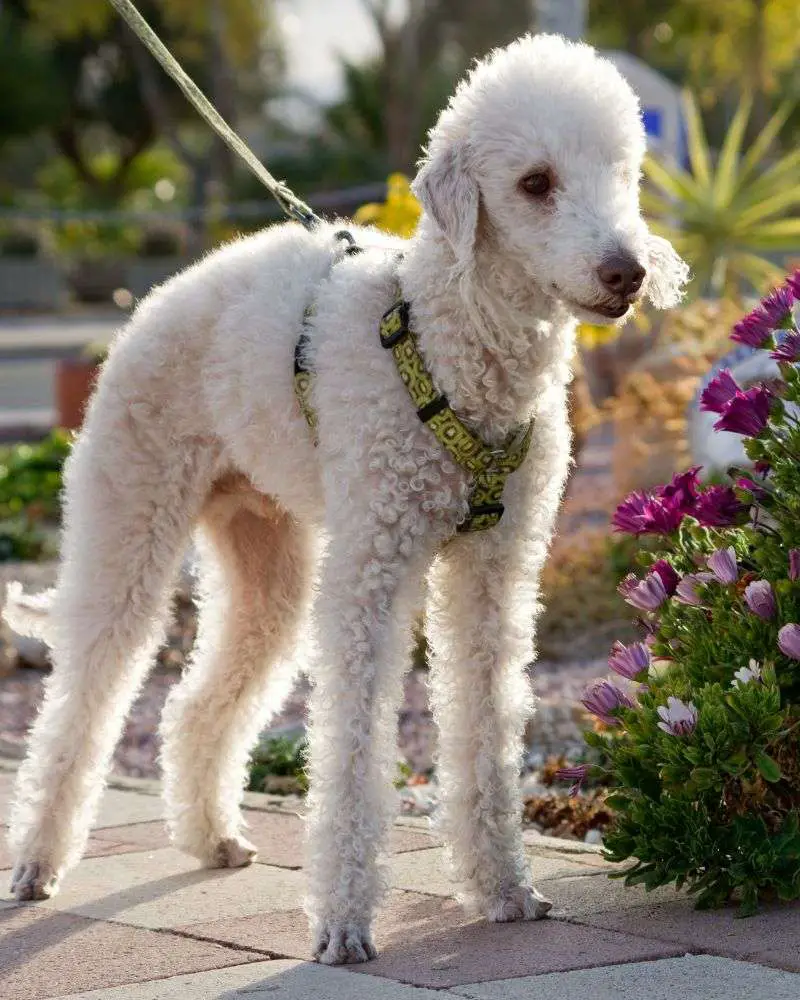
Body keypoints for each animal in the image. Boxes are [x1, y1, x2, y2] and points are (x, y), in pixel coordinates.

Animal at [3, 35, 684, 964]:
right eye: (536, 182)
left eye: (621, 172)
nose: (628, 271)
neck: (451, 343)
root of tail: (156, 302)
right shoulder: (373, 569)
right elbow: (354, 744)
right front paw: (343, 923)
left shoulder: (496, 571)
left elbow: (486, 724)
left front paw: (503, 888)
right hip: (130, 513)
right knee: (84, 699)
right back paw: (39, 861)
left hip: (265, 555)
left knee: (193, 704)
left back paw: (211, 835)